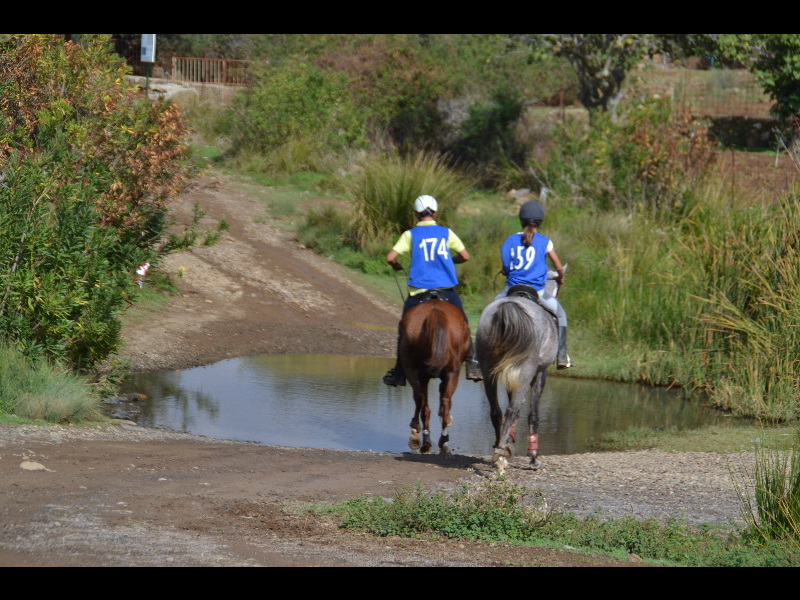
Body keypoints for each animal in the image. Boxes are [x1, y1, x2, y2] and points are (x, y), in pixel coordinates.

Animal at [398, 296, 472, 454]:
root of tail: (434, 312)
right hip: (451, 373)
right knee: (443, 401)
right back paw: (443, 441)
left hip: (414, 370)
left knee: (422, 400)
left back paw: (417, 434)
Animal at [476, 284, 556, 472]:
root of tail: (507, 309)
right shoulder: (540, 374)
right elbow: (533, 414)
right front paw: (533, 458)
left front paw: (509, 444)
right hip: (524, 372)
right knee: (511, 410)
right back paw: (500, 458)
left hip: (488, 370)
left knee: (497, 411)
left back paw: (499, 450)